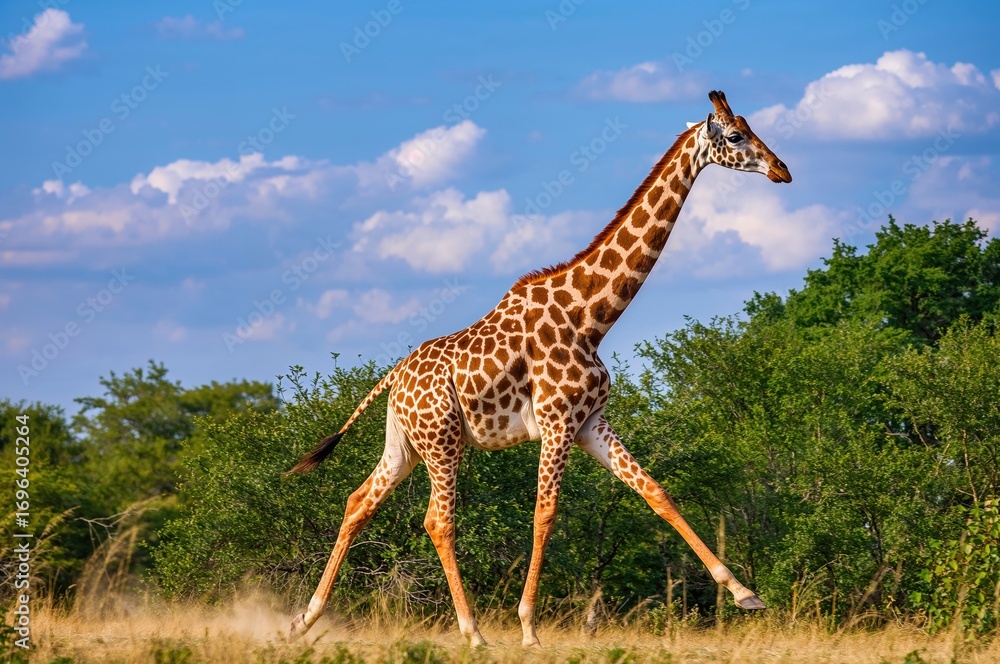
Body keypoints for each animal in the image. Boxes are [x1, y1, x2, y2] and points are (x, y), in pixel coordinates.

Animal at [287, 90, 792, 647]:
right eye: (735, 136)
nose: (782, 170)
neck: (591, 316)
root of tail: (393, 378)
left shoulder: (591, 421)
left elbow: (655, 492)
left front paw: (746, 595)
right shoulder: (557, 422)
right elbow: (545, 514)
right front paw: (528, 627)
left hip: (405, 444)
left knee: (358, 502)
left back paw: (304, 618)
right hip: (443, 440)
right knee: (438, 521)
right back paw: (473, 632)